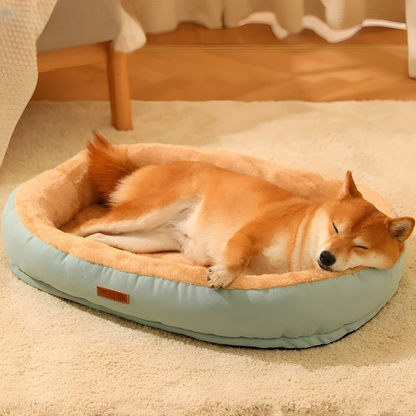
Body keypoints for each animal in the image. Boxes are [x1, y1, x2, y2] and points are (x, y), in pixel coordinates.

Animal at [62, 133, 416, 290]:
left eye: (361, 246)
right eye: (335, 227)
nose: (327, 257)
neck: (299, 238)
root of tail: (140, 168)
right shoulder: (250, 233)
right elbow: (238, 254)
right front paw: (222, 274)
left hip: (148, 239)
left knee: (101, 235)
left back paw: (92, 247)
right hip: (145, 210)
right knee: (85, 224)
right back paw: (62, 236)